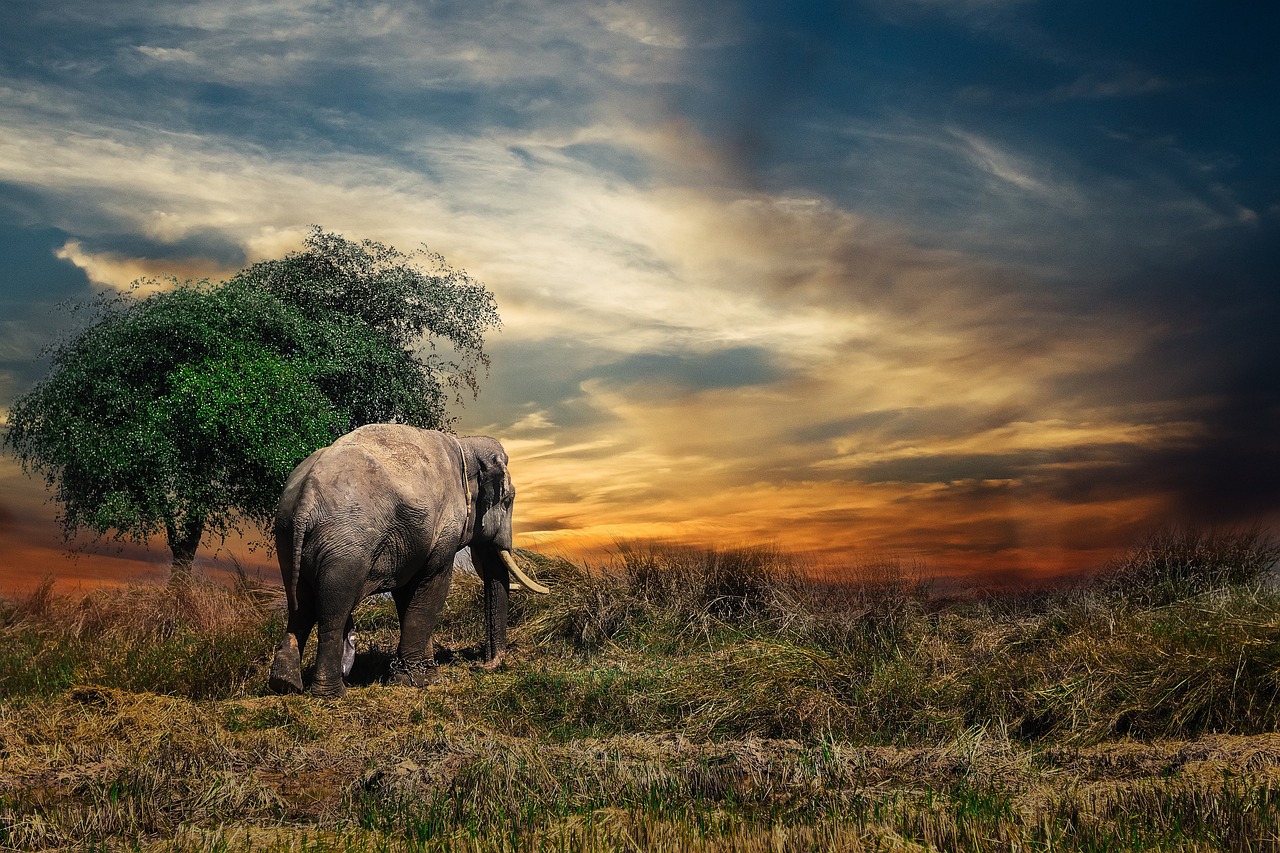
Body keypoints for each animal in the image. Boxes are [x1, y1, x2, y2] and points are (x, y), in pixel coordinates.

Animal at [267, 423, 549, 697]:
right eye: (508, 500)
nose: (480, 665)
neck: (465, 446)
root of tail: (306, 497)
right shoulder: (443, 528)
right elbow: (433, 586)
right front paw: (415, 681)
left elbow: (408, 595)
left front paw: (426, 676)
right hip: (345, 544)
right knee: (332, 611)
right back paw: (331, 693)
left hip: (287, 537)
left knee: (300, 605)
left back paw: (285, 685)